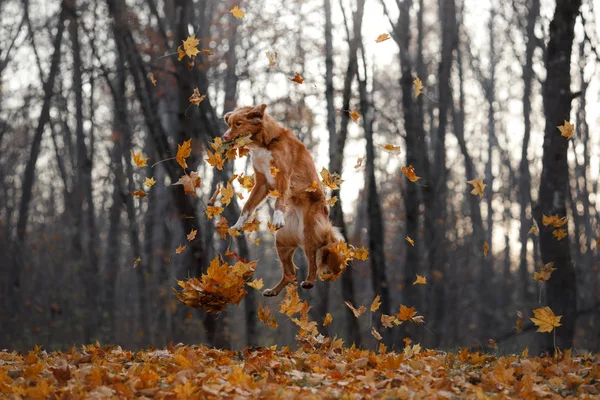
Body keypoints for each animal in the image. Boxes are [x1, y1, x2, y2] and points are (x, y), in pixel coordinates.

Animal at [223, 104, 344, 296]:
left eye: (239, 124)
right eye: (229, 124)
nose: (225, 137)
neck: (266, 143)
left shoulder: (284, 177)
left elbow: (279, 201)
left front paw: (278, 217)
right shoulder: (262, 183)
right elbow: (248, 206)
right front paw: (239, 224)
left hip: (309, 233)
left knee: (313, 263)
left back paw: (309, 281)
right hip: (281, 242)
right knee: (290, 273)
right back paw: (274, 291)